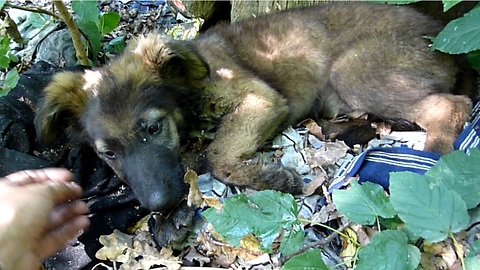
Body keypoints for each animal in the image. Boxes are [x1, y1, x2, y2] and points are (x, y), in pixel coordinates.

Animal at [34, 2, 472, 242]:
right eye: (109, 154)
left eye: (153, 128)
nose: (157, 204)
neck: (187, 89)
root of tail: (435, 31)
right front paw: (170, 216)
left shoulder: (261, 98)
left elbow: (217, 155)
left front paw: (271, 177)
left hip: (355, 72)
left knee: (452, 105)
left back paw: (434, 168)